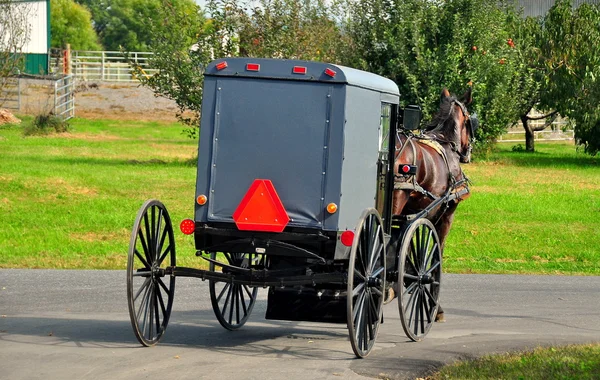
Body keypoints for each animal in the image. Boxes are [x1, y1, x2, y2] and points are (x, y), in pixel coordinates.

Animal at [392, 87, 476, 320]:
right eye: (470, 121)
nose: (467, 152)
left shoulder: (415, 214)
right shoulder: (444, 216)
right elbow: (435, 254)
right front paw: (435, 307)